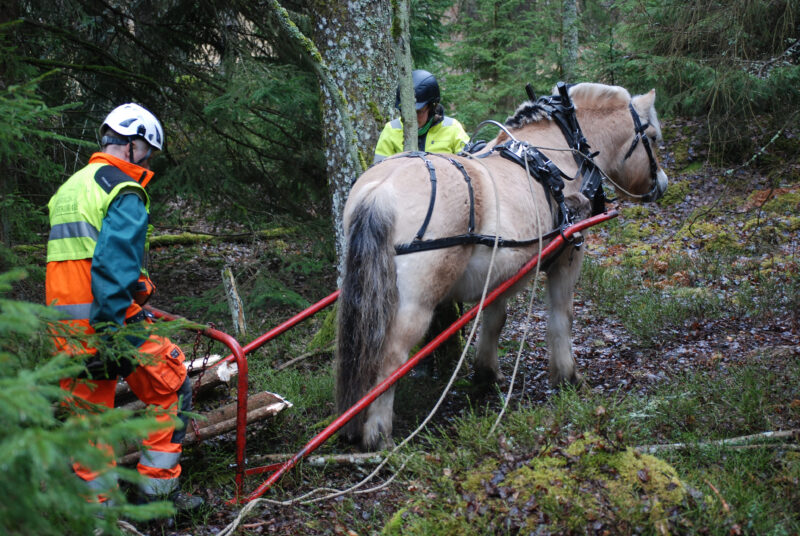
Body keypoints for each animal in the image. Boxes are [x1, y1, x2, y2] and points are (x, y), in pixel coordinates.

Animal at [336, 81, 668, 450]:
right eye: (652, 137)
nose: (662, 184)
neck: (556, 156)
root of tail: (381, 190)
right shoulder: (568, 254)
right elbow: (561, 318)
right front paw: (567, 376)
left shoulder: (500, 271)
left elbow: (494, 321)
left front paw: (486, 375)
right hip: (414, 302)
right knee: (390, 358)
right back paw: (378, 435)